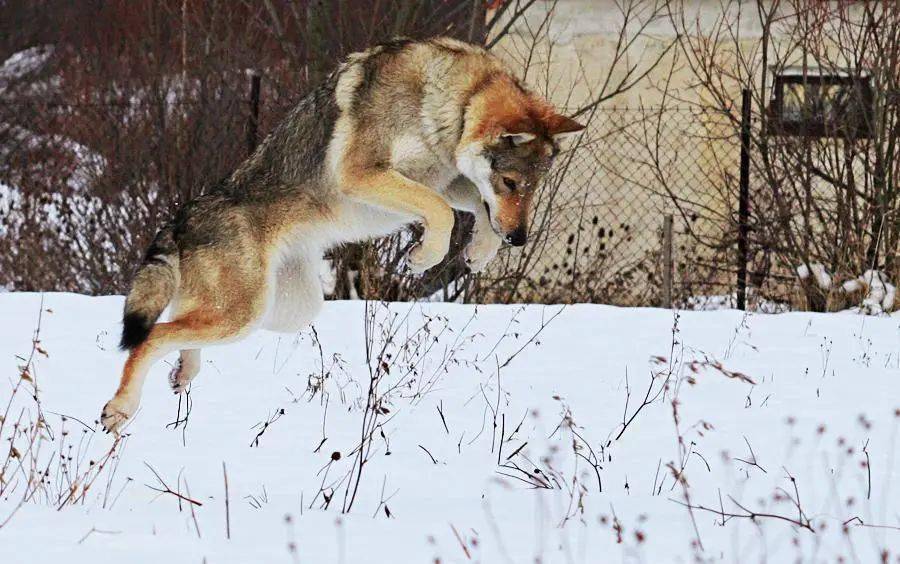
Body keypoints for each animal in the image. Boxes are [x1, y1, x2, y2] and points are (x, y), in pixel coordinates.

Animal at [102, 36, 584, 432]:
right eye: (511, 183)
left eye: (533, 187)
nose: (519, 239)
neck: (454, 103)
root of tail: (182, 218)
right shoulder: (367, 174)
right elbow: (443, 212)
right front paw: (424, 257)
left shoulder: (444, 177)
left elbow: (470, 206)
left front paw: (480, 251)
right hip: (244, 315)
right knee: (152, 336)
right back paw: (121, 408)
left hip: (284, 310)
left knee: (175, 328)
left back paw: (183, 371)